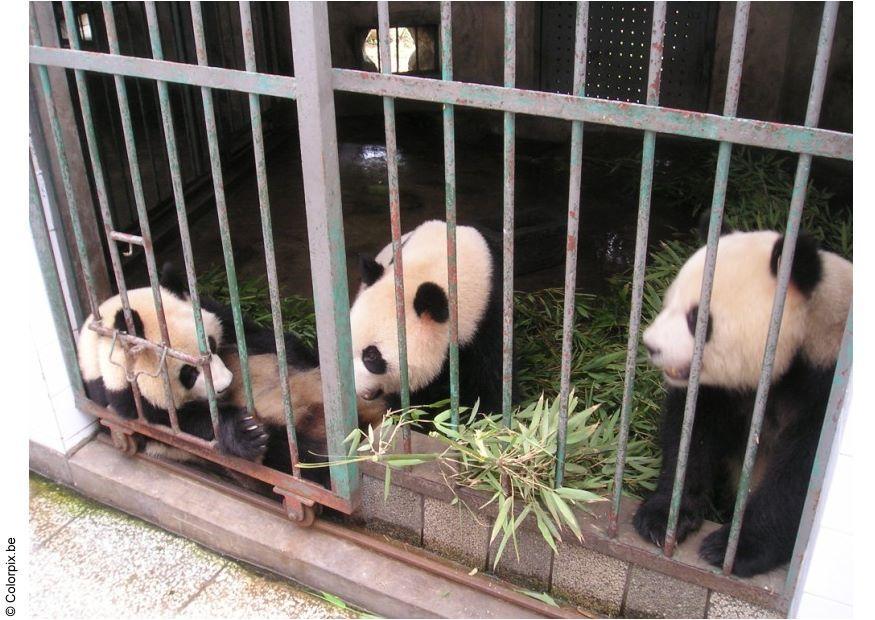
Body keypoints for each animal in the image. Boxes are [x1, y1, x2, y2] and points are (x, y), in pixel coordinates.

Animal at [633, 229, 852, 577]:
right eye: (667, 303)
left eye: (697, 317)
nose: (651, 346)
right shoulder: (722, 390)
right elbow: (693, 434)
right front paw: (663, 517)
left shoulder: (822, 387)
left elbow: (800, 477)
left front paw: (732, 549)